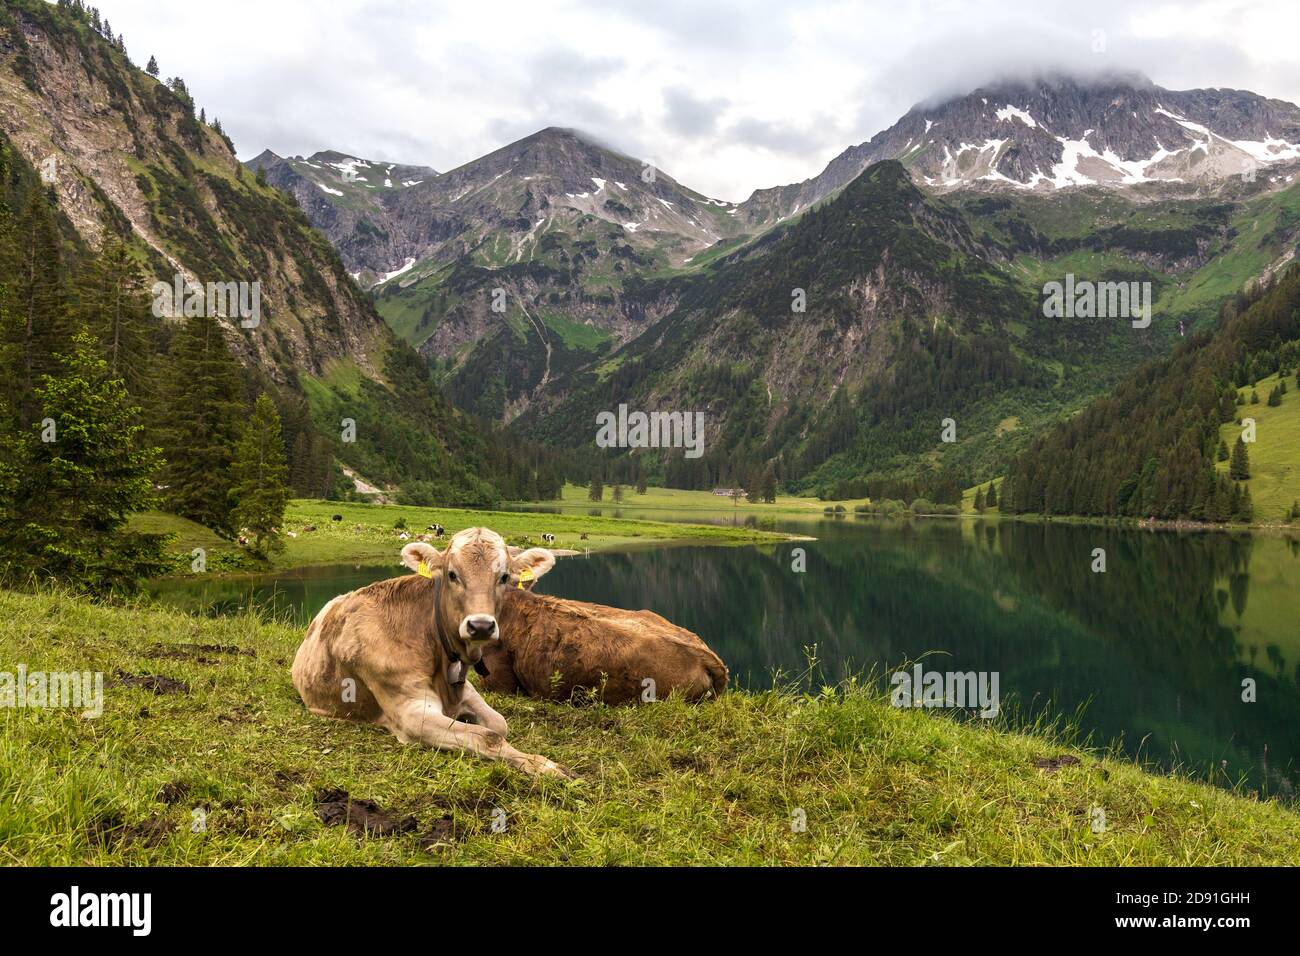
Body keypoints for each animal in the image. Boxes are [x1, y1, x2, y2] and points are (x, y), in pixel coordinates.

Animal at [289, 528, 574, 780]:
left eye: (504, 577)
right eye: (452, 574)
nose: (481, 625)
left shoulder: (465, 689)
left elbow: (498, 723)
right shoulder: (412, 713)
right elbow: (489, 736)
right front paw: (543, 765)